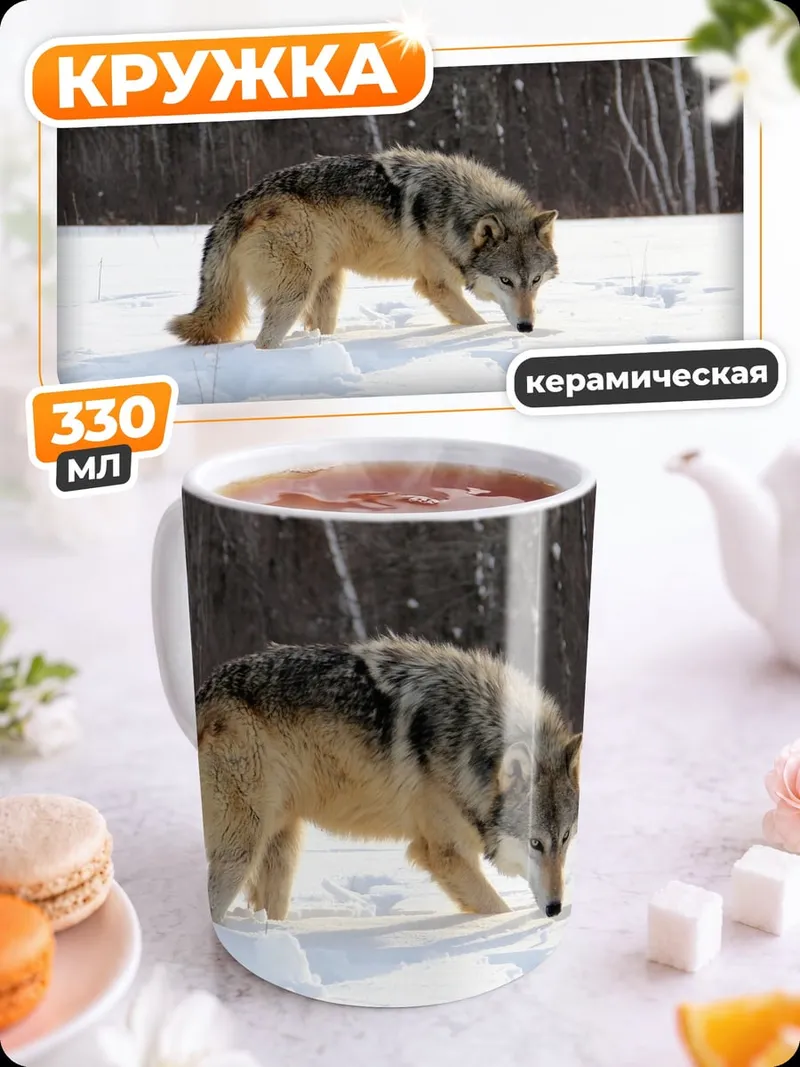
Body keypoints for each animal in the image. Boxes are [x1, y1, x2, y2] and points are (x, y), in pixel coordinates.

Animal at [167, 148, 559, 350]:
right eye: (506, 281)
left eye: (535, 280)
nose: (526, 327)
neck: (453, 209)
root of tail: (237, 205)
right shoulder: (436, 285)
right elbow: (475, 321)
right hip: (295, 294)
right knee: (264, 343)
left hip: (328, 285)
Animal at [196, 635, 581, 924]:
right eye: (535, 843)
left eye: (564, 839)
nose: (555, 909)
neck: (468, 737)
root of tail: (206, 688)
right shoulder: (444, 854)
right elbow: (497, 910)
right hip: (240, 850)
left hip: (283, 847)